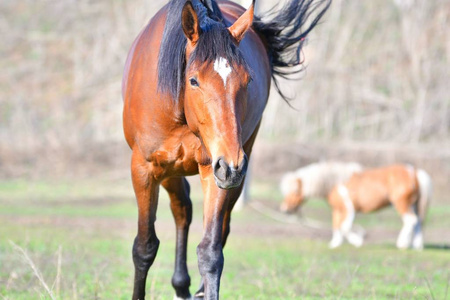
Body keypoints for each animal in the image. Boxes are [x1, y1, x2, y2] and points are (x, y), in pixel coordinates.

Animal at [121, 0, 328, 298]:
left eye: (248, 80)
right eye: (193, 80)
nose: (232, 165)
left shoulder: (215, 170)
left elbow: (210, 252)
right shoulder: (145, 169)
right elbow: (145, 247)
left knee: (216, 225)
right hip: (173, 170)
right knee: (182, 208)